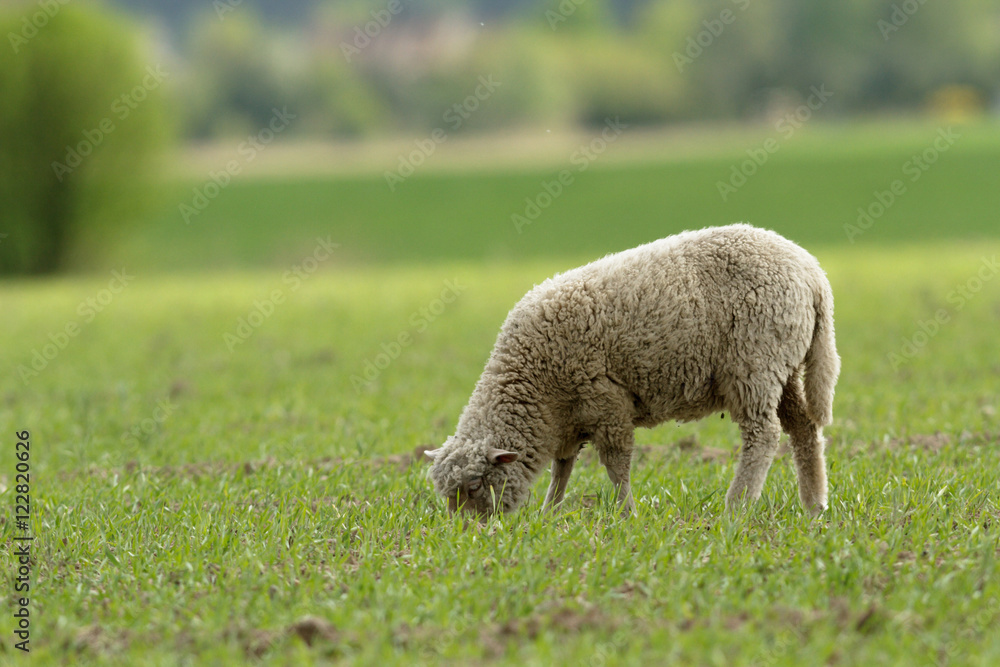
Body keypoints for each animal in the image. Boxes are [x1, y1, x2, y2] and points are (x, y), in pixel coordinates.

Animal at [425, 224, 840, 519]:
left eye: (475, 486)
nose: (468, 534)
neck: (535, 387)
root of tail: (812, 273)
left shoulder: (605, 402)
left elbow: (615, 465)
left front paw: (626, 514)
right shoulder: (571, 418)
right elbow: (563, 467)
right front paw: (549, 513)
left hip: (755, 363)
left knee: (763, 435)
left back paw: (736, 507)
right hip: (784, 367)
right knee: (804, 429)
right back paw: (814, 505)